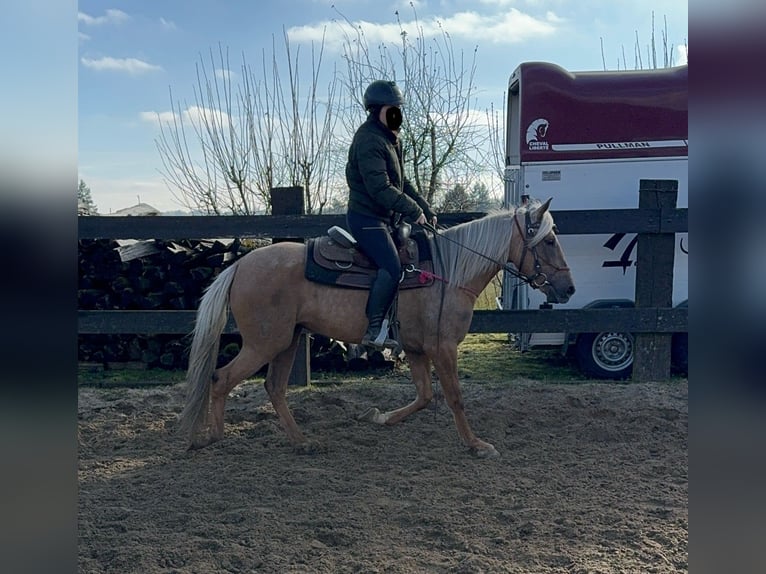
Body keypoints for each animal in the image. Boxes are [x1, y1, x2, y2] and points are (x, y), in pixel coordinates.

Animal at [180, 198, 576, 460]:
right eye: (549, 240)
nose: (569, 289)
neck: (448, 272)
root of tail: (239, 265)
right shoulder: (443, 347)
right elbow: (454, 398)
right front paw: (476, 445)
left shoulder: (416, 349)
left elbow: (424, 397)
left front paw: (379, 417)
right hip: (264, 343)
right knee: (222, 378)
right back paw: (211, 437)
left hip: (287, 340)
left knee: (275, 388)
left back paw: (302, 442)